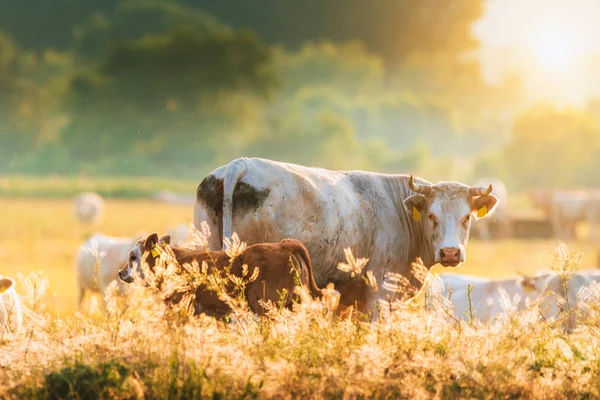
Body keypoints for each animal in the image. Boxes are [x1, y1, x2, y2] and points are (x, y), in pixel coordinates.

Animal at [195, 157, 500, 318]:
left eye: (467, 217)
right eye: (432, 216)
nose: (450, 253)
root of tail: (241, 165)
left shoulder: (347, 299)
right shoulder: (380, 297)